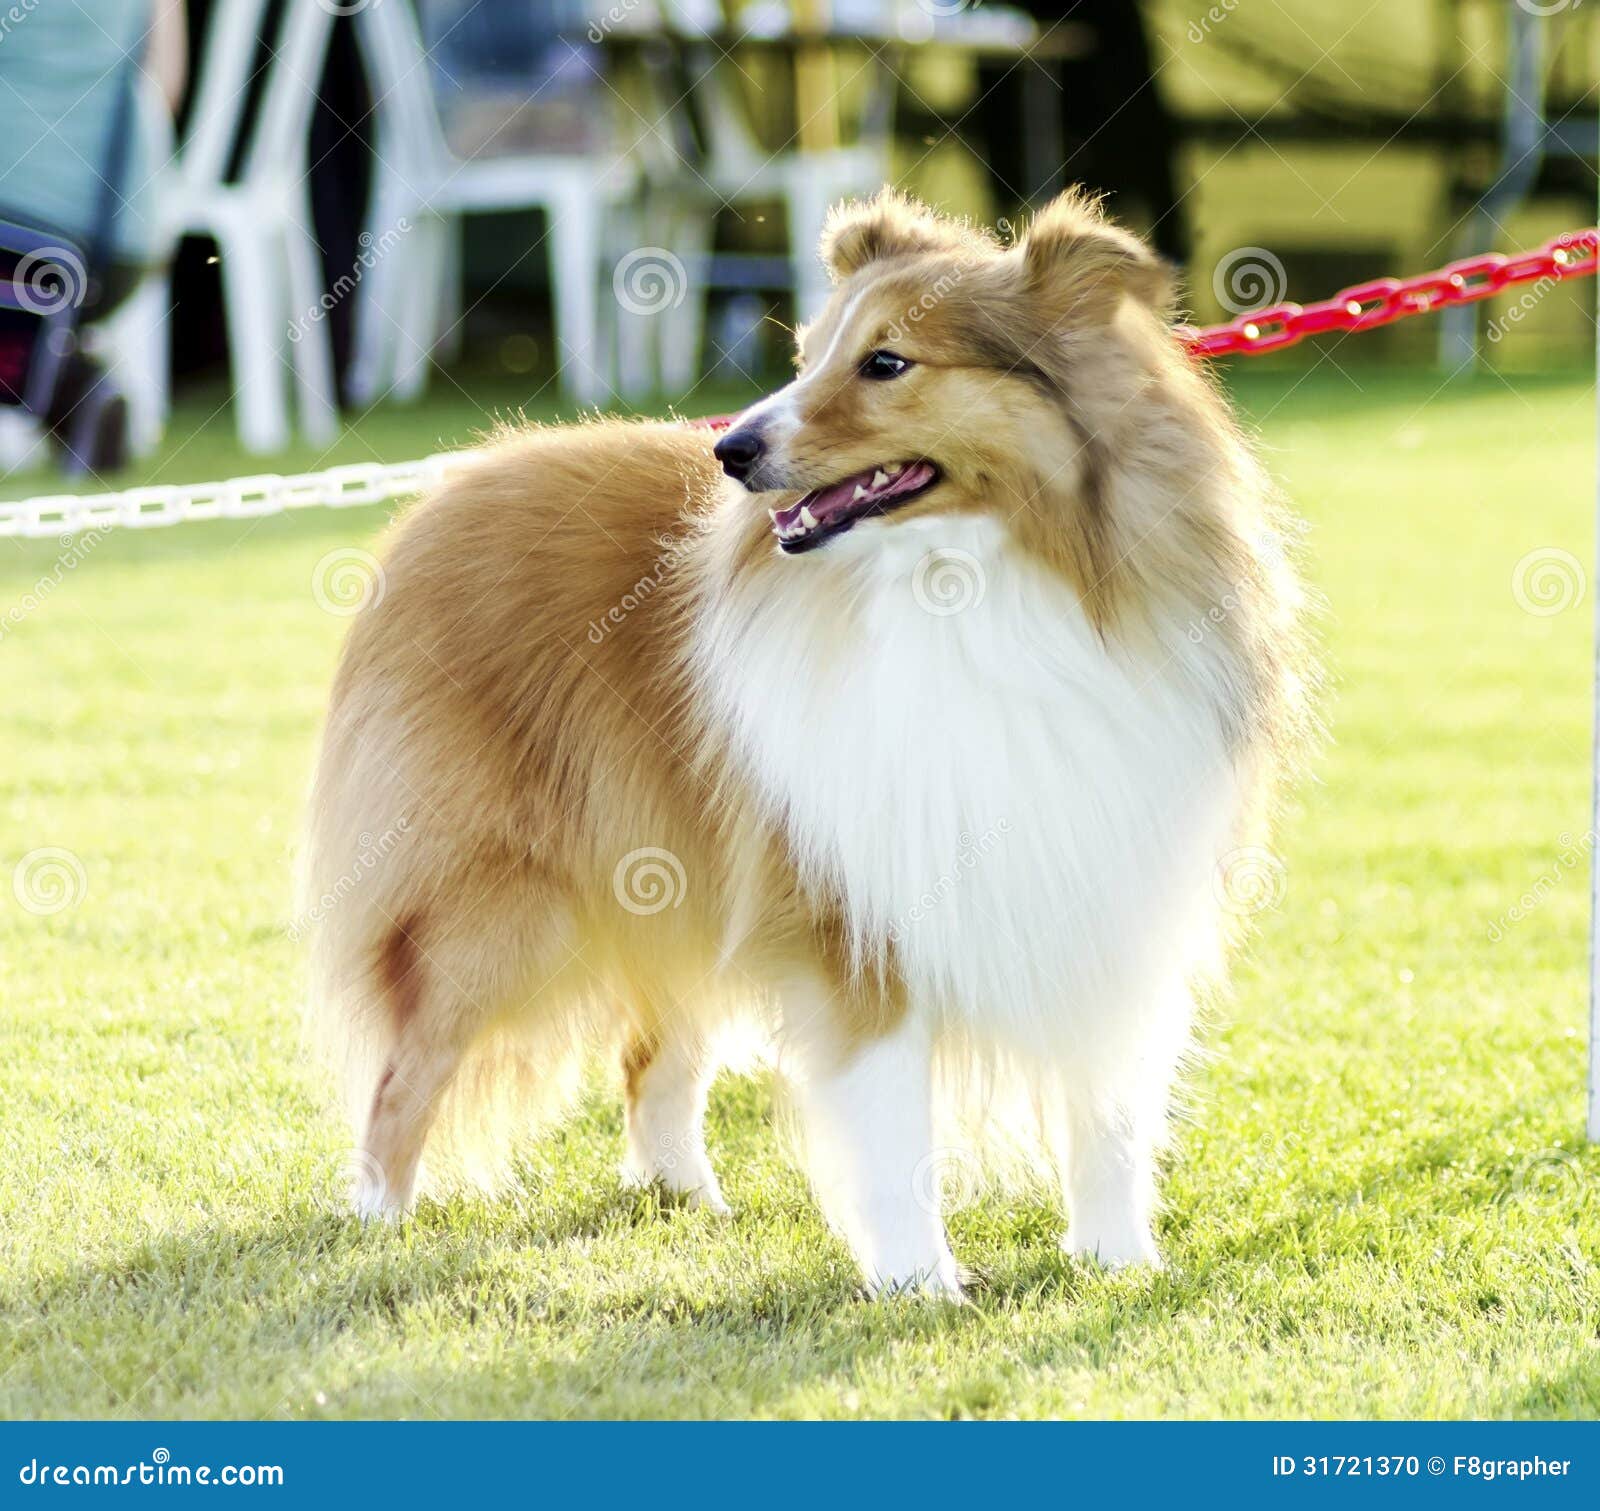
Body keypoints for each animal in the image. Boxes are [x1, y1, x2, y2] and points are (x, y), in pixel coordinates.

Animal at [302, 188, 1312, 1299]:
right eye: (808, 352)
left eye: (886, 361)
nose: (730, 451)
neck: (977, 583)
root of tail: (448, 487)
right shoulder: (852, 908)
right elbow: (892, 1122)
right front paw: (920, 1285)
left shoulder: (1115, 892)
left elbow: (1111, 1106)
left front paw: (1118, 1264)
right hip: (496, 908)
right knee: (404, 1075)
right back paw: (379, 1221)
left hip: (673, 870)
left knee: (652, 1056)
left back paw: (682, 1195)